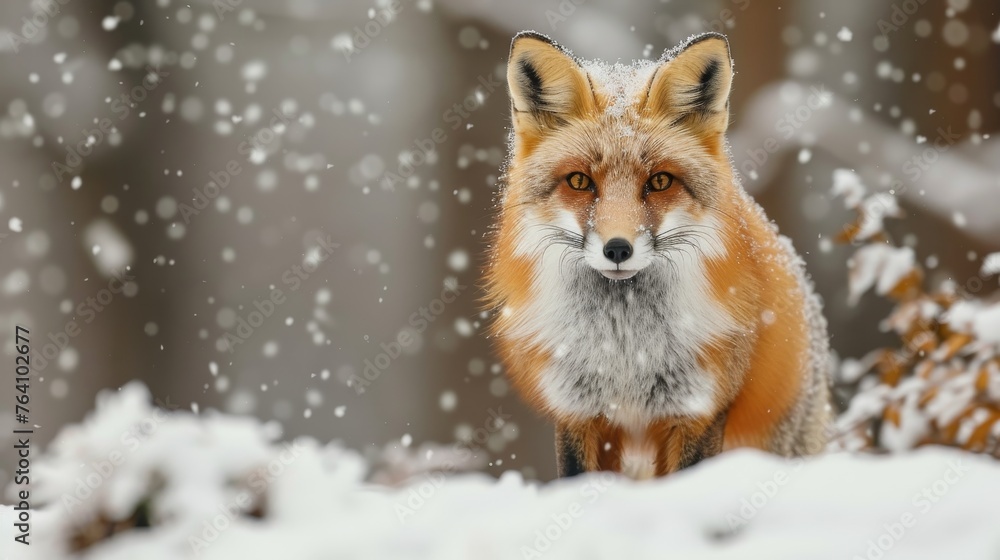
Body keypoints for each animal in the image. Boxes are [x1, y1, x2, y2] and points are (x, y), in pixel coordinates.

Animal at [484, 31, 832, 479]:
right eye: (579, 181)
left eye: (660, 181)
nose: (618, 248)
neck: (626, 349)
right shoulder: (577, 410)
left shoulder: (698, 410)